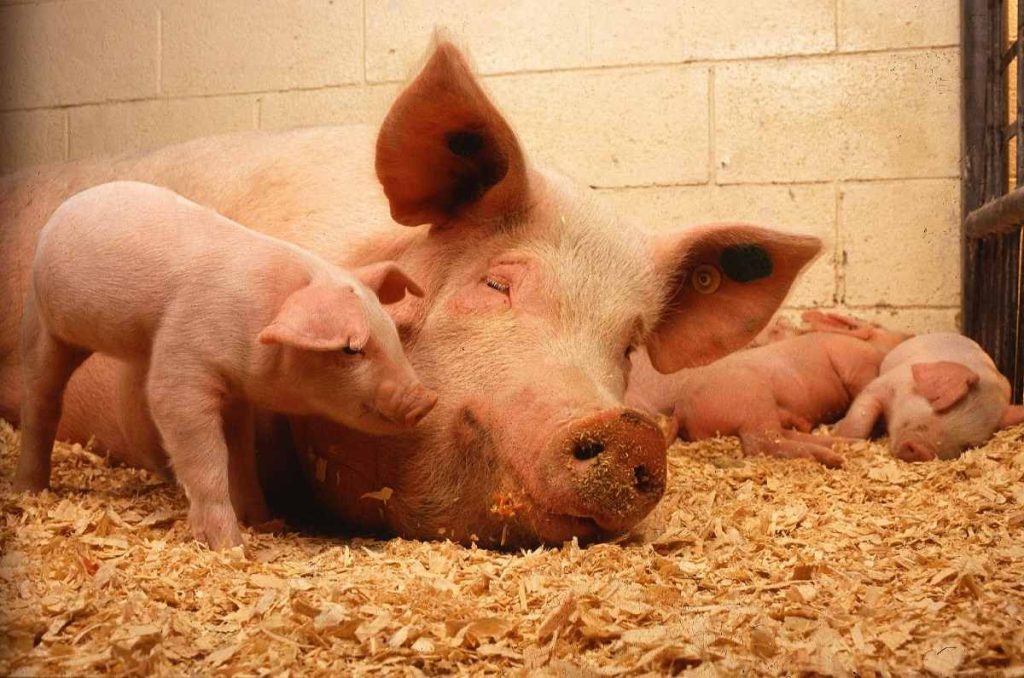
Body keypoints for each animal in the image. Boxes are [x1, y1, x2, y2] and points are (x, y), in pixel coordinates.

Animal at [14, 181, 436, 548]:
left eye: (391, 332)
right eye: (350, 349)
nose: (426, 399)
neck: (258, 321)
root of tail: (64, 210)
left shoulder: (236, 394)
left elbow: (242, 457)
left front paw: (264, 522)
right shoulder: (182, 360)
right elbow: (204, 453)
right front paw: (230, 546)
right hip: (45, 325)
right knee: (40, 398)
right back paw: (30, 490)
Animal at [627, 311, 912, 466]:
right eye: (881, 327)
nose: (908, 335)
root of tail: (681, 411)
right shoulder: (855, 364)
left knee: (782, 435)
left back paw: (840, 446)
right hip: (754, 400)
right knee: (762, 443)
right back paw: (834, 458)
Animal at [835, 332, 1024, 461]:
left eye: (967, 445)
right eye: (942, 408)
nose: (922, 451)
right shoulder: (884, 383)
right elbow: (861, 418)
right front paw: (839, 434)